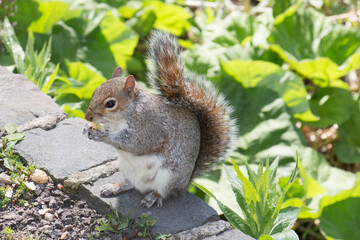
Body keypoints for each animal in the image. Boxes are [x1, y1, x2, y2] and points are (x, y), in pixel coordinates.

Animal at [83, 30, 238, 208]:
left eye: (110, 103)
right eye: (95, 90)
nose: (88, 116)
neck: (123, 117)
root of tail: (186, 183)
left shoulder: (150, 127)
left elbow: (136, 144)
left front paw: (102, 135)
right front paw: (88, 129)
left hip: (169, 177)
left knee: (164, 192)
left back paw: (153, 197)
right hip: (127, 169)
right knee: (131, 184)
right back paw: (115, 187)